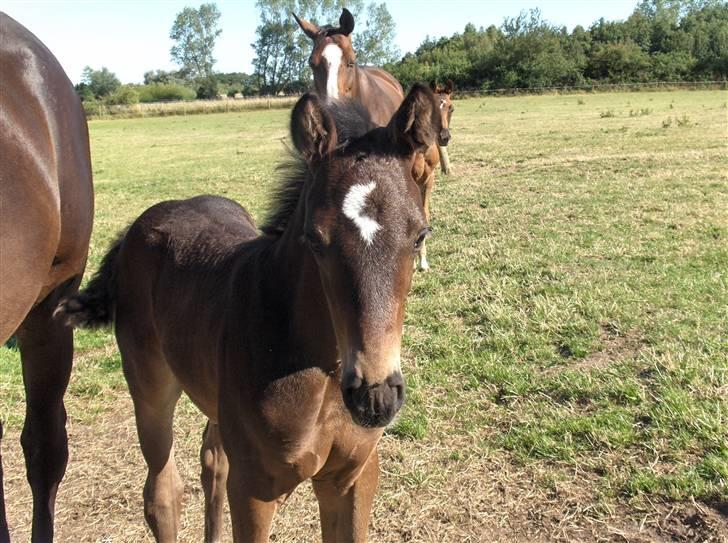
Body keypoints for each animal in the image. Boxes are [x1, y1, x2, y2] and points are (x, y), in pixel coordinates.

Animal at [57, 83, 440, 540]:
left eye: (420, 235)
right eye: (315, 239)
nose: (375, 396)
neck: (320, 370)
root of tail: (138, 225)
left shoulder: (353, 477)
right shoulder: (255, 488)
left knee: (213, 460)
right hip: (149, 383)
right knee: (163, 489)